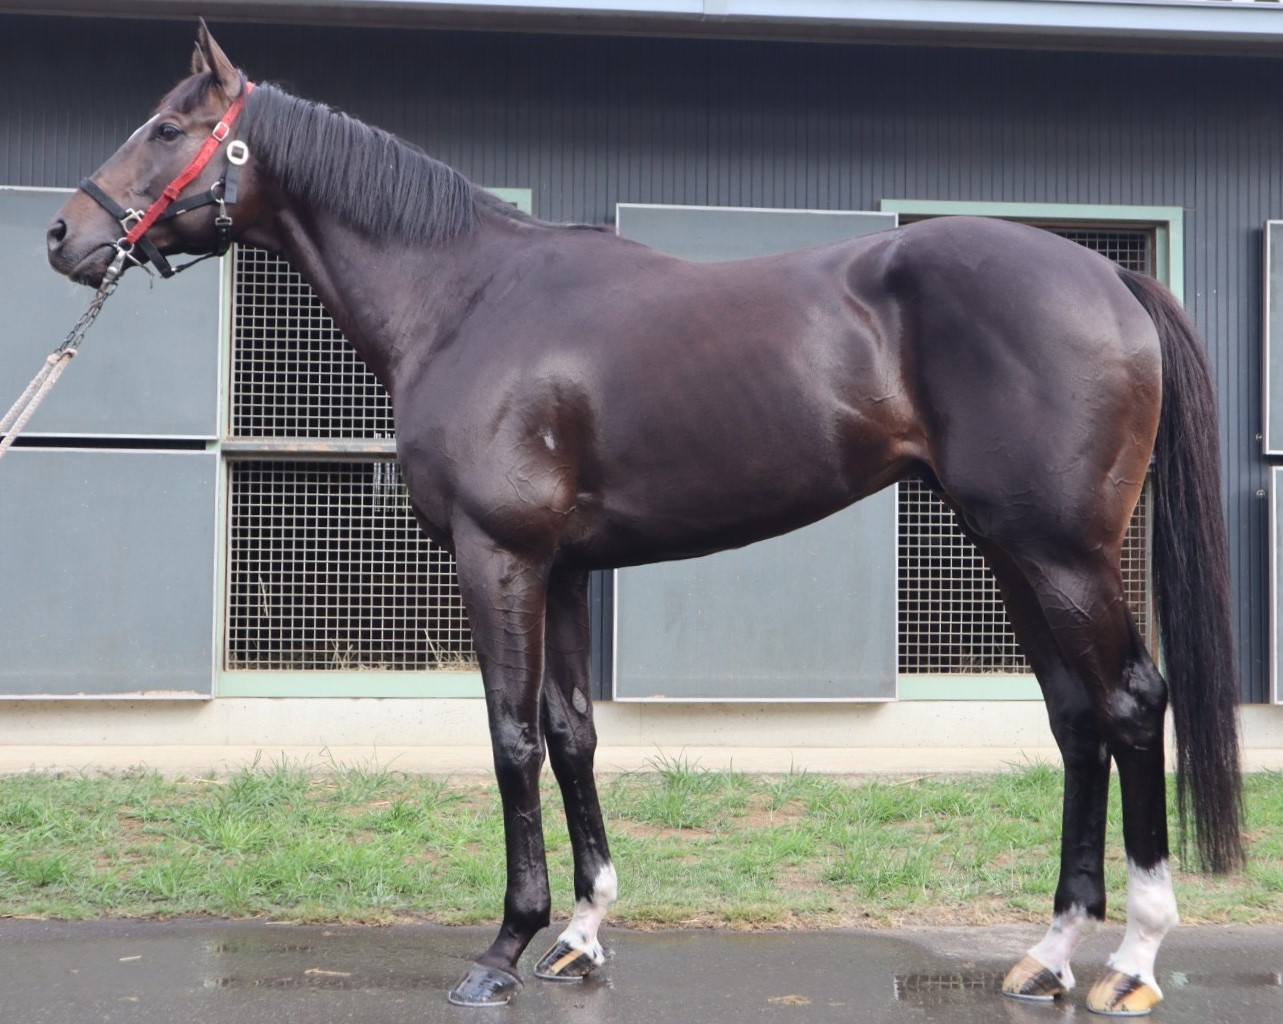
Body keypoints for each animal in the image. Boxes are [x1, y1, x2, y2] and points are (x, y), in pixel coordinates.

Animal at [45, 22, 1243, 1015]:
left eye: (167, 126)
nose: (63, 235)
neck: (469, 300)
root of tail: (1102, 277)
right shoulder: (566, 568)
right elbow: (575, 733)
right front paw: (579, 935)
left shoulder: (498, 558)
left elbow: (512, 738)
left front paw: (503, 948)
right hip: (1009, 548)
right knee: (1074, 720)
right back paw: (1047, 953)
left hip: (1060, 552)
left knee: (1130, 704)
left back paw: (1133, 960)